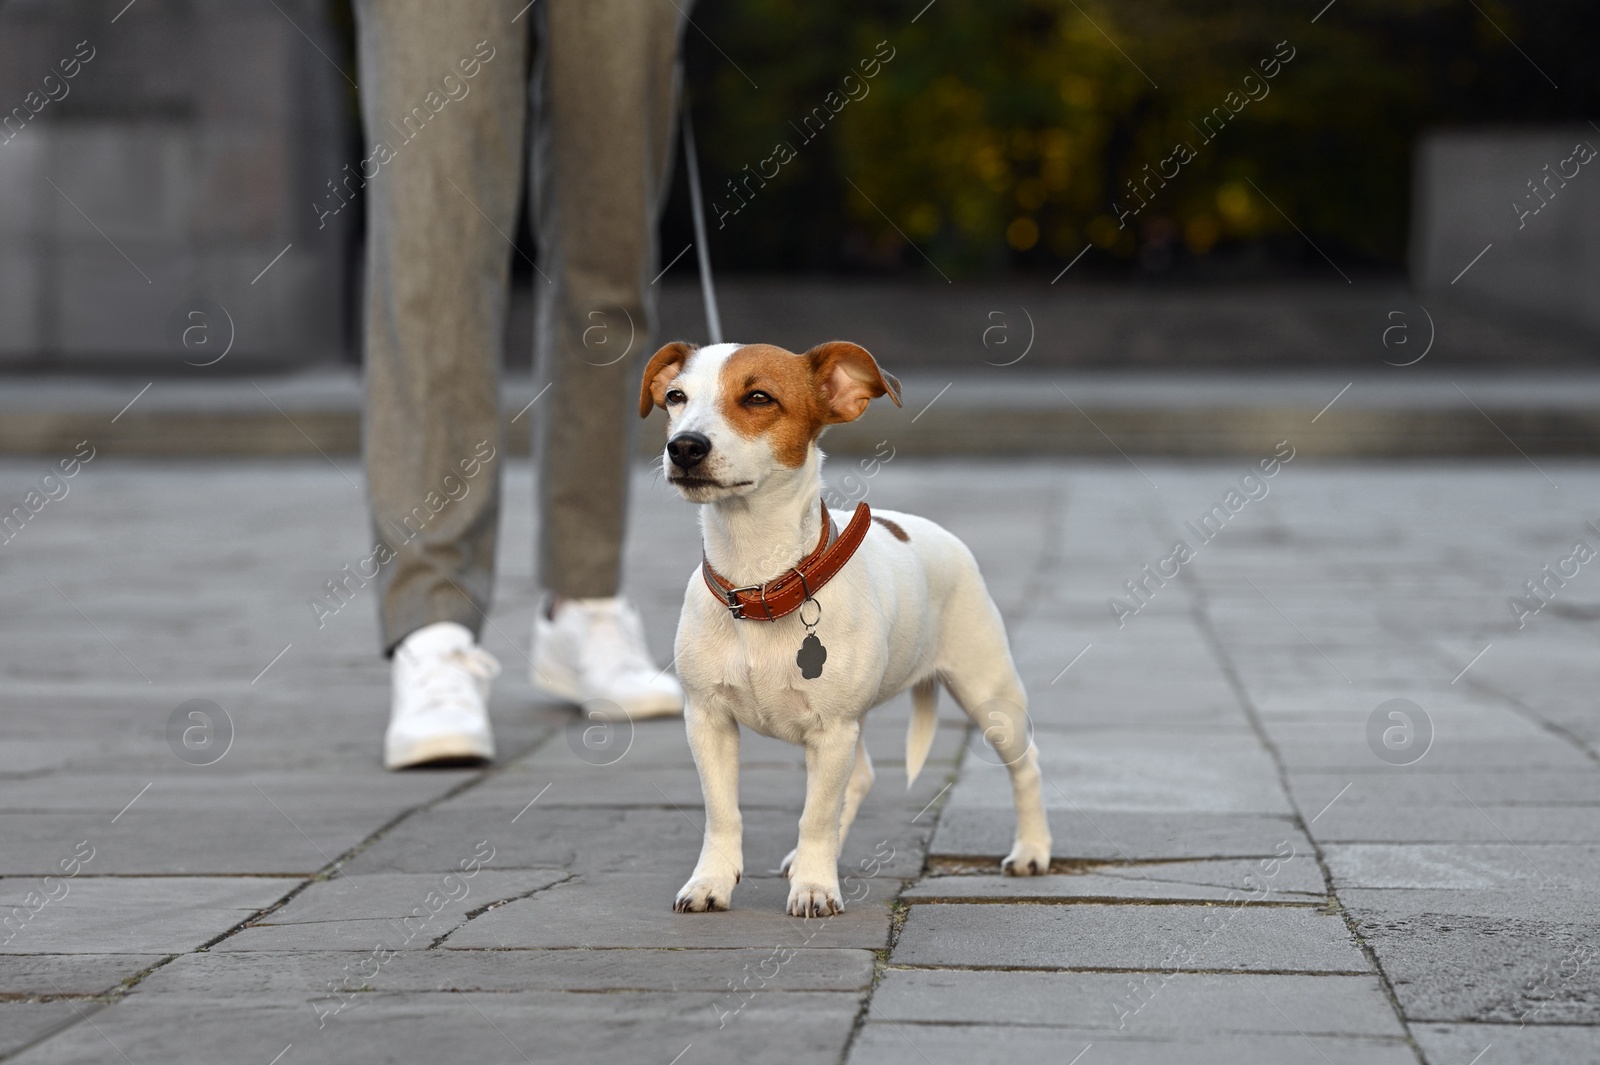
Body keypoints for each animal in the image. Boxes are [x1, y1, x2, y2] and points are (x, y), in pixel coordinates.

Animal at [636, 337, 1049, 914]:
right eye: (675, 396)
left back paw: (1032, 850)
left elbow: (816, 815)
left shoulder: (831, 732)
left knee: (1026, 766)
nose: (684, 447)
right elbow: (723, 814)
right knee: (862, 778)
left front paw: (814, 886)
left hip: (990, 696)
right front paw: (711, 882)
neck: (760, 580)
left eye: (759, 397)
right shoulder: (708, 721)